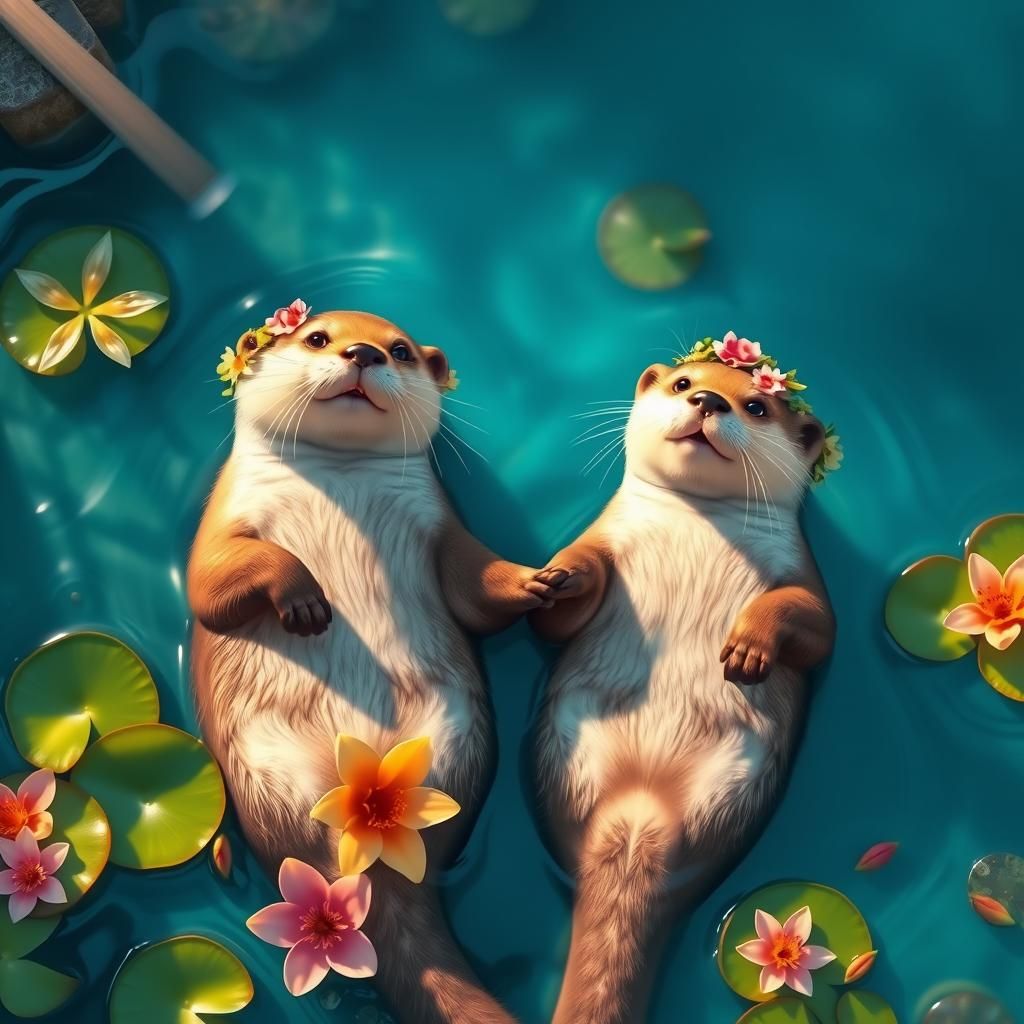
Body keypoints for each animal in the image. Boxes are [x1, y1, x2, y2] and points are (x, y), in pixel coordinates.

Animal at [188, 310, 556, 1024]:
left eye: (401, 351)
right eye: (317, 337)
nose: (362, 353)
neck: (341, 484)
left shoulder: (441, 524)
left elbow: (477, 585)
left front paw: (536, 582)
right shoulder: (222, 521)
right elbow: (211, 586)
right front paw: (303, 598)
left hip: (453, 733)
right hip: (267, 772)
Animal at [529, 354, 836, 1024]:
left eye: (757, 406)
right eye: (683, 383)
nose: (708, 402)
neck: (698, 527)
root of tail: (640, 812)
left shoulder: (805, 577)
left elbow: (814, 625)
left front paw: (748, 646)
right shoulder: (603, 536)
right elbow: (556, 610)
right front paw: (561, 577)